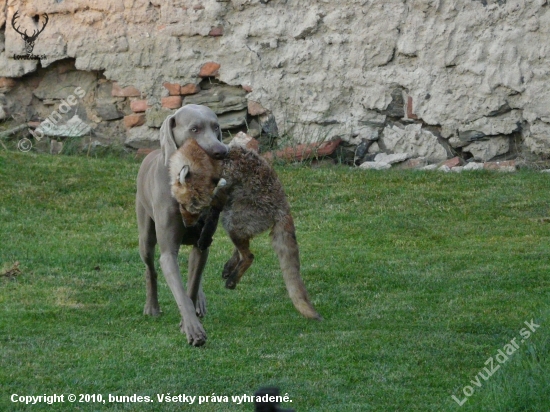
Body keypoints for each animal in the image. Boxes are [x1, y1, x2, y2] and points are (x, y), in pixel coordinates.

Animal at [136, 104, 229, 346]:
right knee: (150, 268)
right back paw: (151, 307)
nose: (222, 151)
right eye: (194, 129)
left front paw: (187, 321)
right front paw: (193, 331)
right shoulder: (168, 252)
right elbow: (179, 291)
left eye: (216, 127)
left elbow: (192, 286)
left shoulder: (202, 243)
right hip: (145, 234)